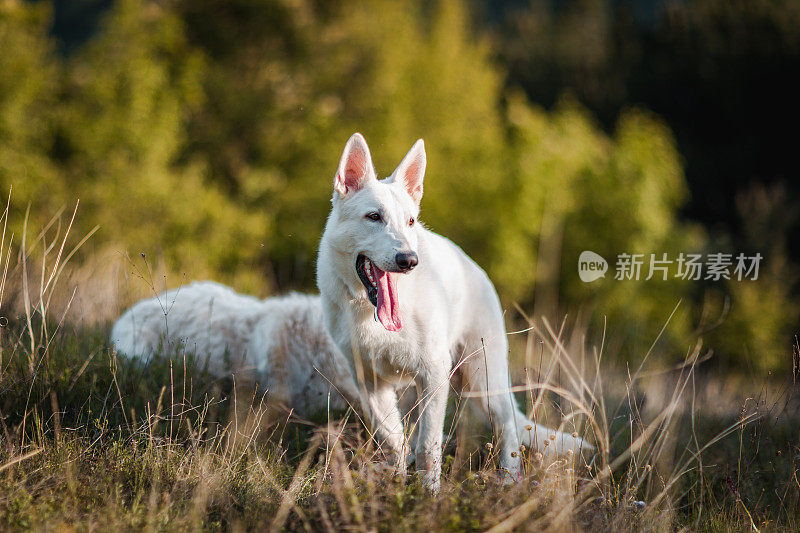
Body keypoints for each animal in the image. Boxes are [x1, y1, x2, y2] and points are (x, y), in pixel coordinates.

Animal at [316, 134, 592, 490]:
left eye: (410, 221)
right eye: (373, 217)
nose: (409, 260)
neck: (370, 311)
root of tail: (474, 266)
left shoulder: (434, 375)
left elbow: (428, 445)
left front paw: (428, 494)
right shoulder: (371, 384)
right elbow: (393, 439)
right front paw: (397, 481)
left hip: (485, 384)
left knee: (508, 429)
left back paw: (509, 481)